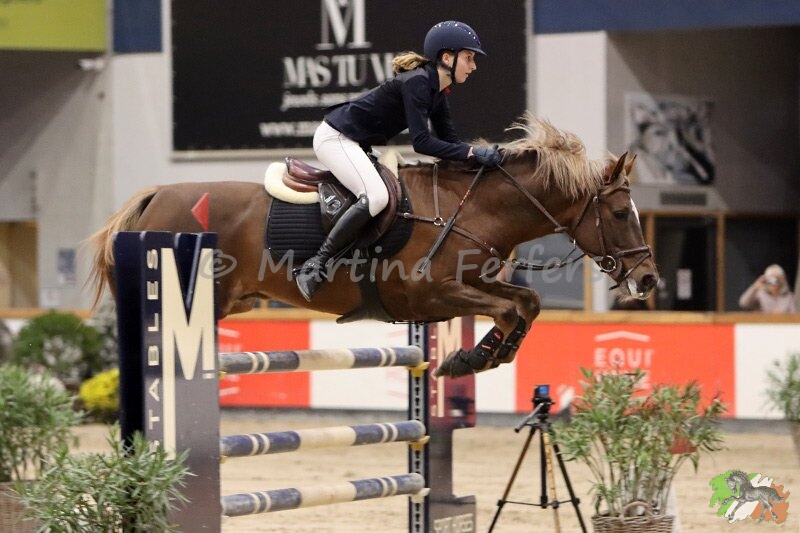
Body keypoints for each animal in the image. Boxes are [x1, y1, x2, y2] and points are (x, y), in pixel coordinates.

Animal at [89, 114, 659, 378]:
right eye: (617, 214)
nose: (649, 279)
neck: (469, 209)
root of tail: (155, 195)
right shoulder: (431, 295)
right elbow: (507, 309)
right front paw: (470, 359)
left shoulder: (471, 282)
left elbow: (527, 303)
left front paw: (482, 357)